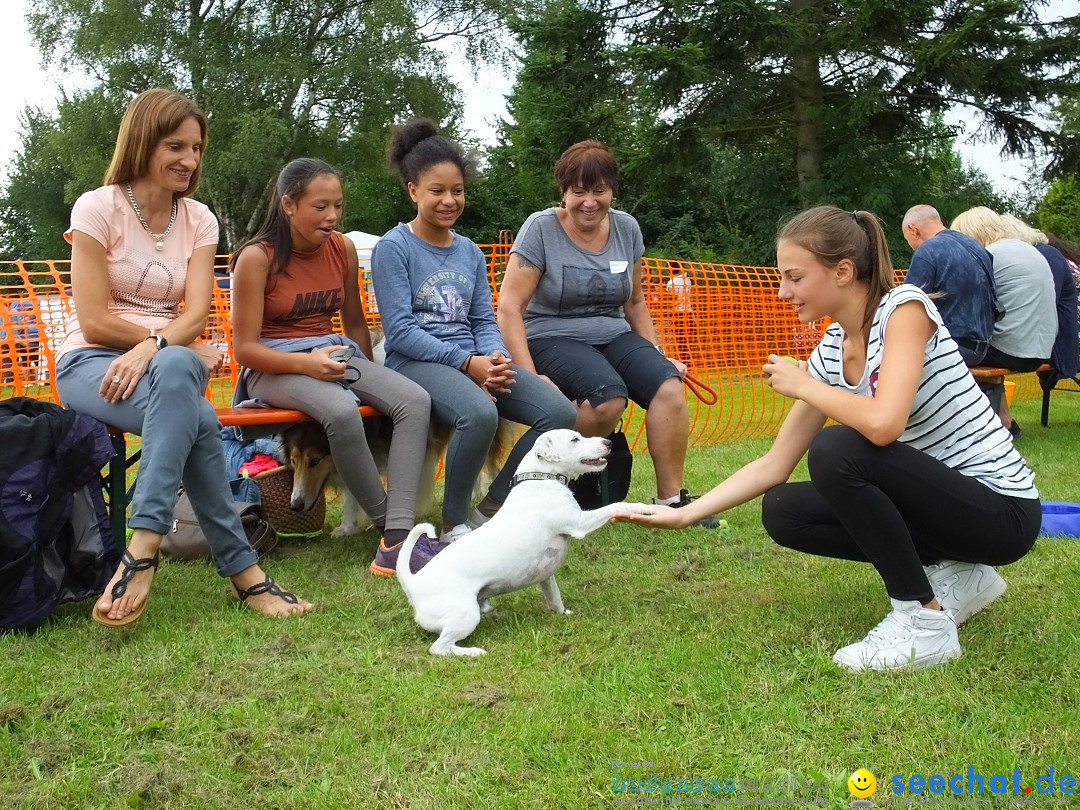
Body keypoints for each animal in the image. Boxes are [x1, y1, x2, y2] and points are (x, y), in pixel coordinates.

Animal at [397, 427, 648, 656]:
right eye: (575, 439)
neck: (541, 479)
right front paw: (642, 509)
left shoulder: (546, 576)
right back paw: (472, 652)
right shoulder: (579, 523)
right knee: (438, 648)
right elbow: (615, 506)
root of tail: (413, 583)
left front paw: (563, 614)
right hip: (465, 614)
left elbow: (555, 598)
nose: (608, 442)